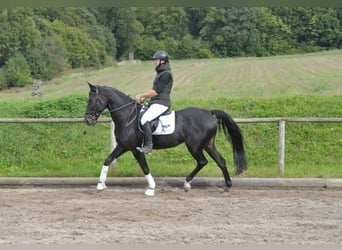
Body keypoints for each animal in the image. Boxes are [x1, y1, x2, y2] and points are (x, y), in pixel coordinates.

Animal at [84, 82, 247, 195]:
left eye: (93, 100)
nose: (88, 120)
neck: (127, 117)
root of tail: (209, 113)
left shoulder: (136, 149)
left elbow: (144, 167)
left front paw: (151, 188)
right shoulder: (123, 146)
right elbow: (108, 160)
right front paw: (100, 185)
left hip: (194, 146)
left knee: (202, 161)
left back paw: (187, 184)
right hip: (208, 144)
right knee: (220, 161)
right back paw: (227, 186)